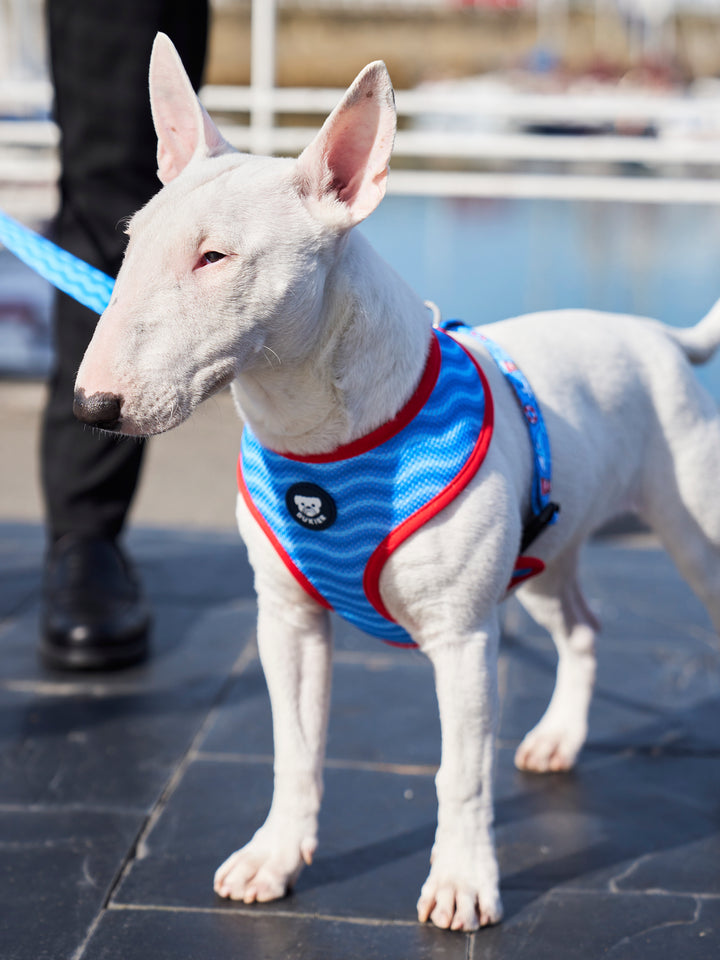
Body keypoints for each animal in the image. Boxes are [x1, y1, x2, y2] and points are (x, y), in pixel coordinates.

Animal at [71, 35, 720, 928]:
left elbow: (462, 772)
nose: (90, 404)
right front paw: (274, 858)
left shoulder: (463, 636)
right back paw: (557, 739)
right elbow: (295, 748)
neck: (323, 447)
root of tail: (656, 334)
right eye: (132, 242)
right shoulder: (288, 620)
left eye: (215, 257)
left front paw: (462, 883)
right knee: (583, 627)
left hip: (693, 532)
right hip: (547, 551)